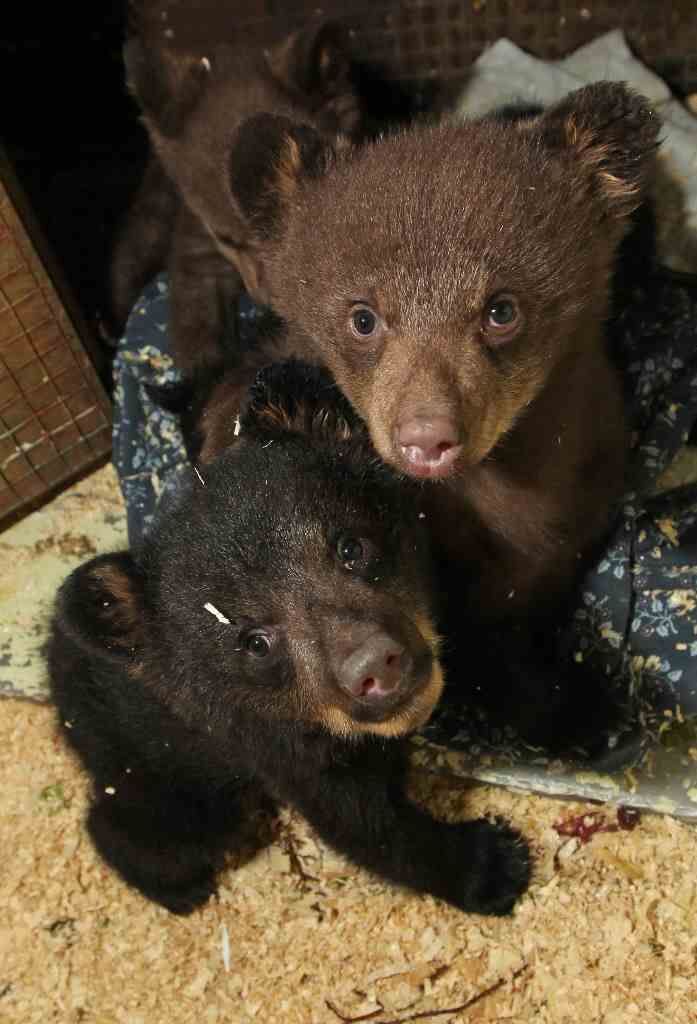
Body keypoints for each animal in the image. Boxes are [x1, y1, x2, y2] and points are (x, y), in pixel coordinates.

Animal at [48, 359, 531, 917]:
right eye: (254, 641)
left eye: (350, 547)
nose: (374, 665)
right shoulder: (271, 741)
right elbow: (362, 823)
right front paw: (494, 865)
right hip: (159, 757)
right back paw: (178, 888)